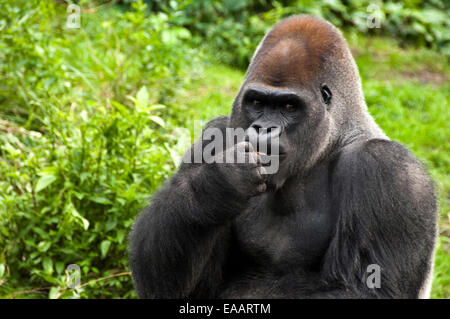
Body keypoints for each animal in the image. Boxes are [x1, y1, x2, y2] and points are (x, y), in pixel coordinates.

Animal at [129, 15, 436, 300]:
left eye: (289, 106)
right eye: (257, 102)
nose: (264, 128)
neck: (331, 141)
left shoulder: (387, 168)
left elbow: (368, 289)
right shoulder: (214, 134)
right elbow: (171, 284)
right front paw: (217, 184)